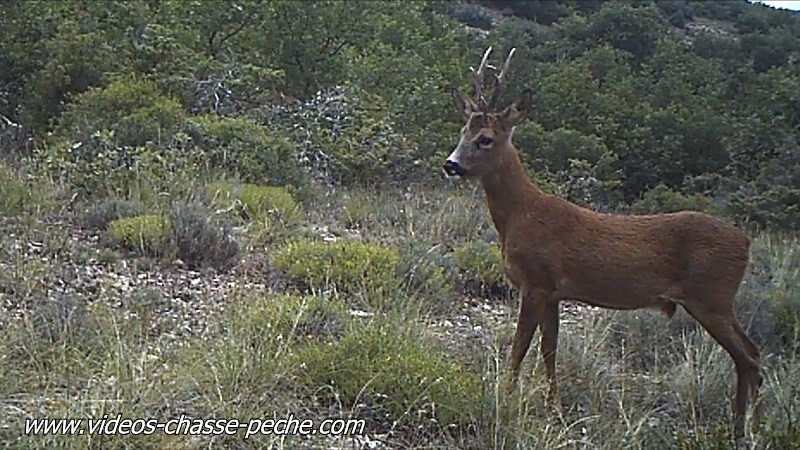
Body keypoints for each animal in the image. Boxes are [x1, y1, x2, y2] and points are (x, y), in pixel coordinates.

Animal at [444, 45, 764, 436]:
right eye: (463, 131)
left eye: (485, 138)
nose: (451, 164)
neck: (521, 216)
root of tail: (745, 242)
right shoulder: (554, 292)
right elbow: (549, 349)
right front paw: (554, 408)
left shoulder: (535, 282)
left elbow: (519, 347)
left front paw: (505, 399)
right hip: (717, 301)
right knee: (750, 355)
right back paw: (741, 426)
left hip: (711, 298)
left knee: (749, 358)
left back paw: (752, 429)